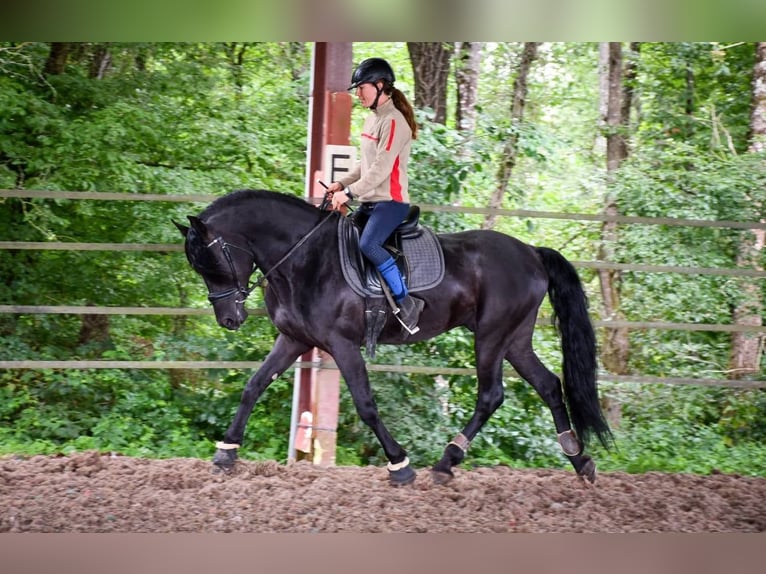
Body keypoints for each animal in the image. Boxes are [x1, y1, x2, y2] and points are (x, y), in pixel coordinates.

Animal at [177, 189, 616, 486]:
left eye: (212, 261)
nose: (229, 319)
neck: (305, 258)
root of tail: (531, 252)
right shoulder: (294, 340)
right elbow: (253, 386)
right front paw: (226, 452)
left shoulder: (341, 344)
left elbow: (366, 405)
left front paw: (400, 464)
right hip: (515, 340)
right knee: (549, 385)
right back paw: (580, 460)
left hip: (492, 337)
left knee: (491, 395)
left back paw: (446, 461)